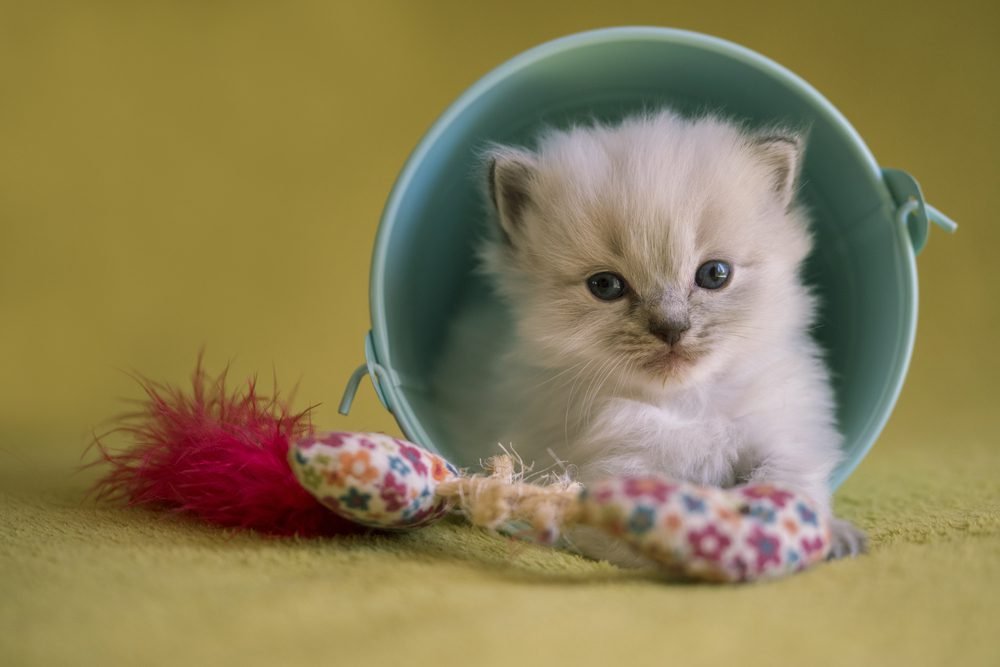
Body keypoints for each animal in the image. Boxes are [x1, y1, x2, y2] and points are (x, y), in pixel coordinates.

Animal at [438, 108, 868, 564]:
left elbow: (788, 487)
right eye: (606, 285)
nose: (671, 328)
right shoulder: (613, 468)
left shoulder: (781, 431)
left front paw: (827, 536)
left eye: (714, 274)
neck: (686, 405)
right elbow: (662, 518)